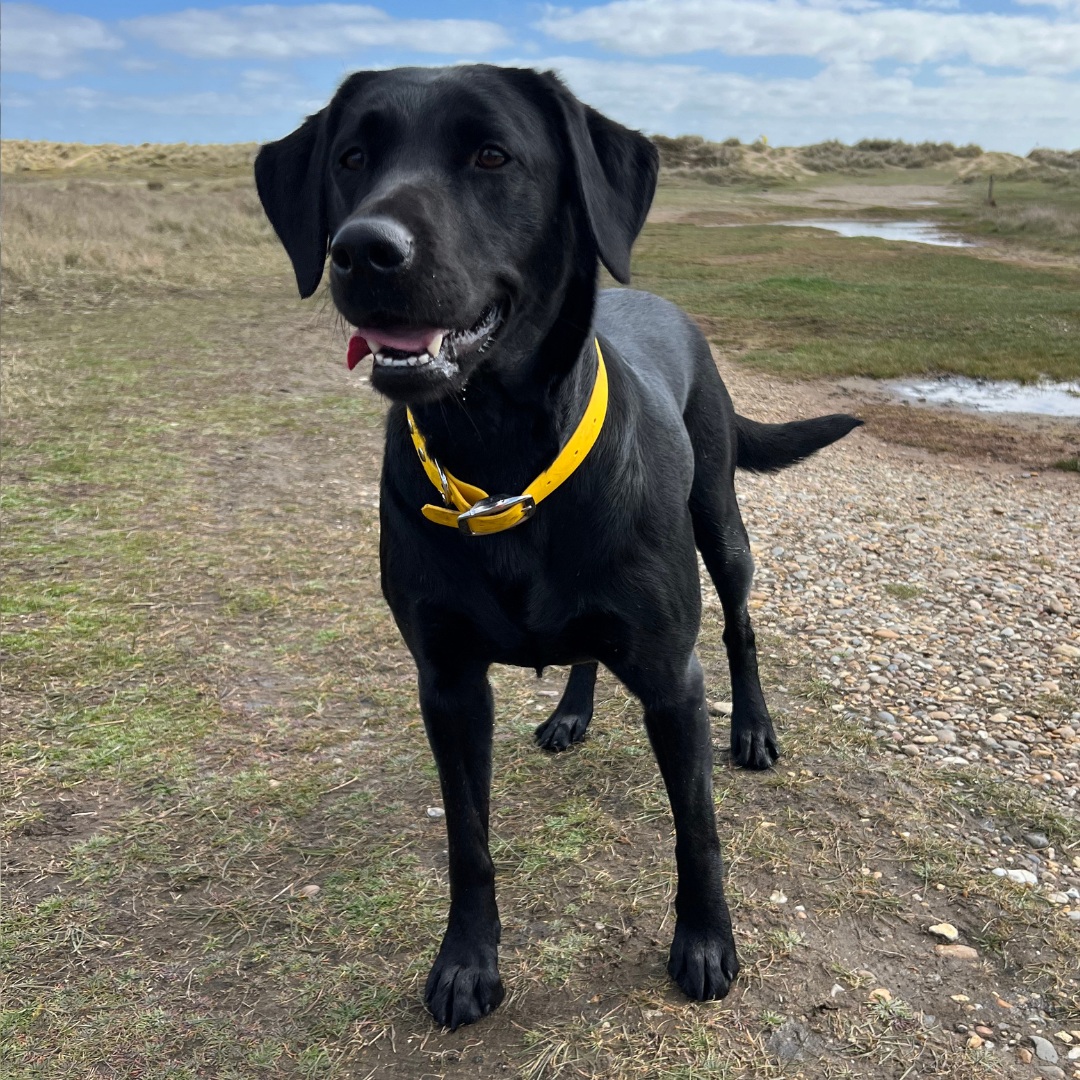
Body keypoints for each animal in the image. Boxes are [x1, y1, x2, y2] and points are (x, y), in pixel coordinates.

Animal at [254, 65, 859, 1028]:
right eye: (351, 158)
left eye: (492, 155)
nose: (362, 251)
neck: (499, 458)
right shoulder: (447, 685)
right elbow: (467, 838)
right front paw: (467, 962)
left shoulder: (673, 679)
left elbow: (696, 828)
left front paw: (705, 942)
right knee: (583, 652)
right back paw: (573, 711)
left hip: (720, 523)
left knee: (740, 625)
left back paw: (755, 728)